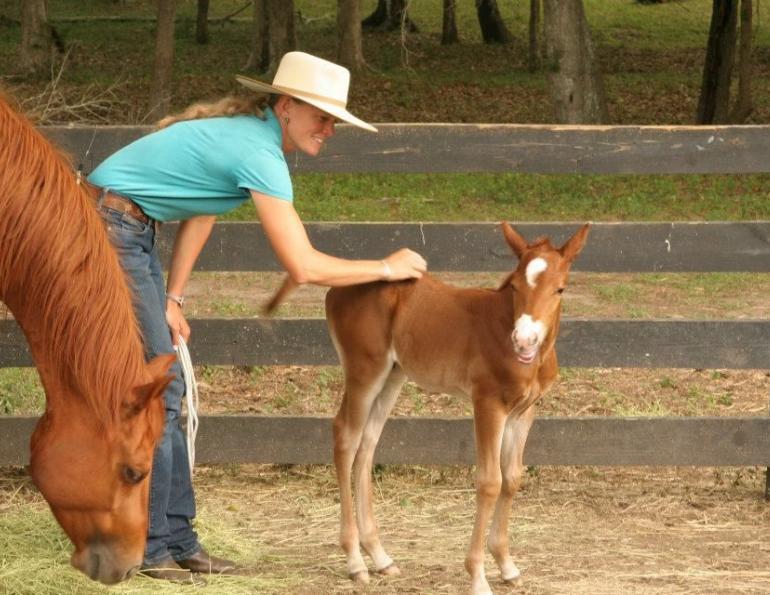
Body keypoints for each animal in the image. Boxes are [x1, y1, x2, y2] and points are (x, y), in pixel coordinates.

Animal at [323, 223, 589, 594]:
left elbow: (512, 478)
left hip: (393, 376)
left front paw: (507, 565)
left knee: (367, 446)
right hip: (365, 370)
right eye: (515, 285)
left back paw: (380, 557)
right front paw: (477, 576)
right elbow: (490, 482)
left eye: (560, 288)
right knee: (346, 438)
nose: (523, 341)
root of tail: (338, 288)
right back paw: (355, 561)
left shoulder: (524, 412)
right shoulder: (488, 404)